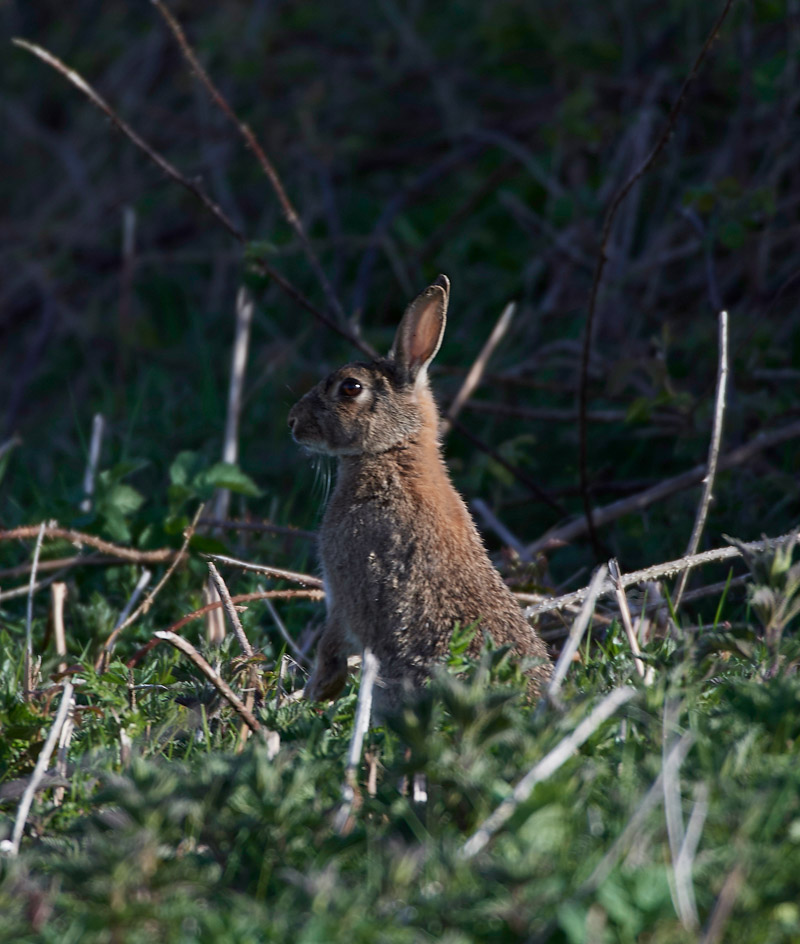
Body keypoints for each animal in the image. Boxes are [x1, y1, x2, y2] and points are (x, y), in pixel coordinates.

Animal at [288, 276, 552, 712]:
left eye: (350, 388)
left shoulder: (343, 591)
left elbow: (332, 640)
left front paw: (318, 692)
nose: (293, 423)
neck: (393, 451)